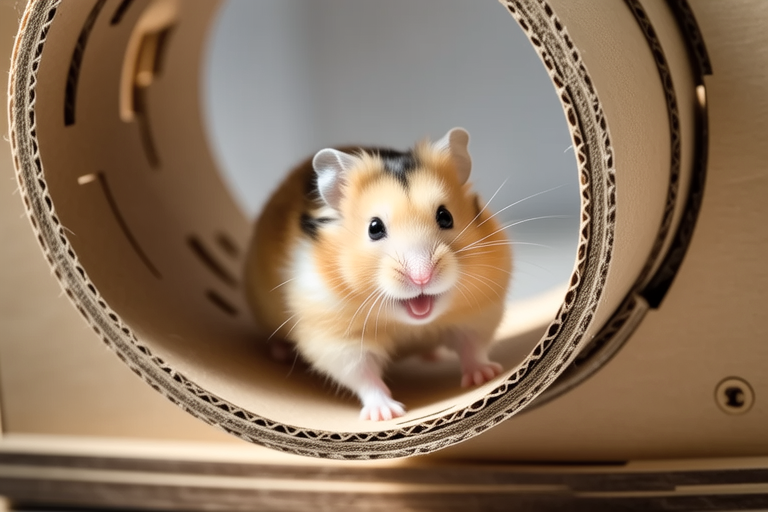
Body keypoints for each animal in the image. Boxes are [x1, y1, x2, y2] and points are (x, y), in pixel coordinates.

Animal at [243, 128, 511, 421]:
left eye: (445, 217)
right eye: (374, 228)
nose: (422, 278)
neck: (407, 325)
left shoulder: (479, 314)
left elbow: (472, 348)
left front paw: (486, 377)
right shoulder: (338, 340)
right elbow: (364, 376)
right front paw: (386, 414)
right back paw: (280, 352)